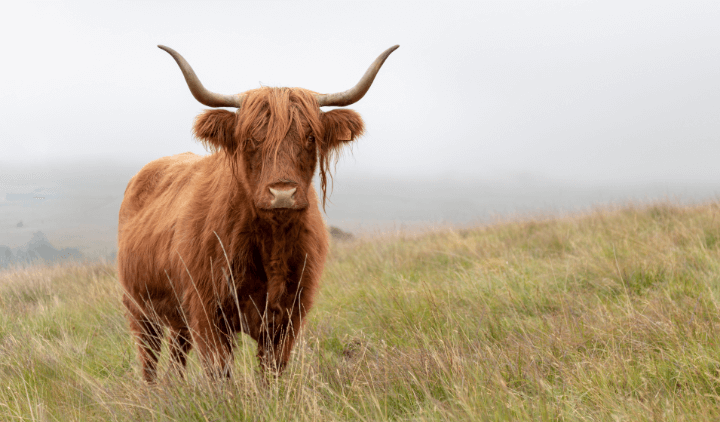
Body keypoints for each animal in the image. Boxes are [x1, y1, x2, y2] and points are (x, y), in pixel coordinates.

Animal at [117, 44, 398, 382]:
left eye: (310, 137)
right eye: (252, 139)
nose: (283, 193)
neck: (271, 243)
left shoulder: (289, 316)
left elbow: (272, 373)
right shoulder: (207, 312)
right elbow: (219, 374)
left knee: (176, 355)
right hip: (139, 307)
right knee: (149, 360)